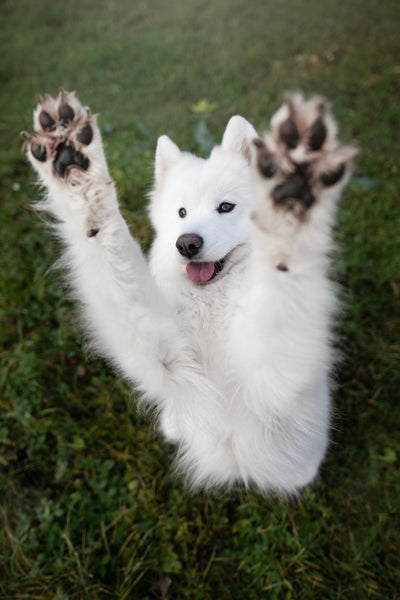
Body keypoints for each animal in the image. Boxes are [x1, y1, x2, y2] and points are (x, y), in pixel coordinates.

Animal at [22, 89, 356, 492]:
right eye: (181, 213)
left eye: (226, 207)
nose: (187, 244)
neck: (215, 301)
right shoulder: (164, 355)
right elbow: (109, 253)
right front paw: (72, 163)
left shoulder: (271, 377)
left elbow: (282, 281)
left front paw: (294, 189)